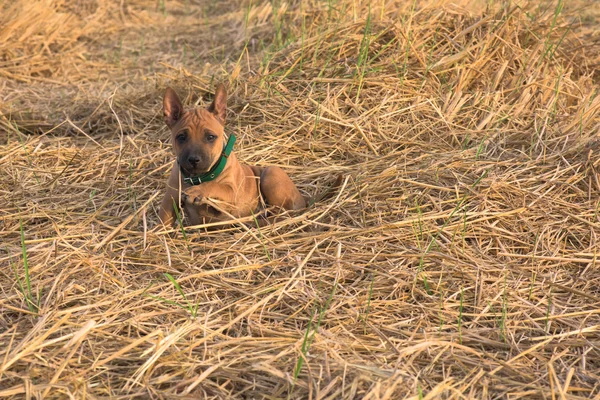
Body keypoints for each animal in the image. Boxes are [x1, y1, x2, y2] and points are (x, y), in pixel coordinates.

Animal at [158, 85, 304, 227]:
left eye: (210, 137)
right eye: (181, 137)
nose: (194, 159)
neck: (197, 177)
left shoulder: (231, 196)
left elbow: (216, 186)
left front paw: (198, 191)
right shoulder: (170, 199)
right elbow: (163, 220)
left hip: (270, 173)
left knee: (284, 213)